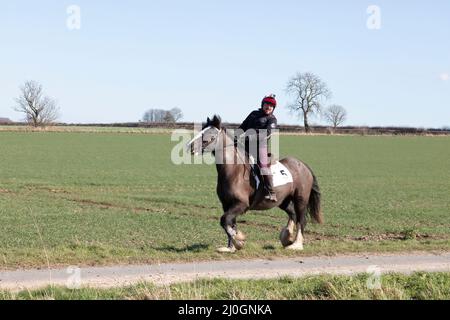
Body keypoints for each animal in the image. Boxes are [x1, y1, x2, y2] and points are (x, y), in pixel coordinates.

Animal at [187, 115, 324, 252]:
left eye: (212, 136)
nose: (190, 147)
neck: (233, 171)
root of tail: (302, 165)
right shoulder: (227, 205)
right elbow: (229, 223)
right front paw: (230, 247)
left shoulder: (241, 204)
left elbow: (224, 220)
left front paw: (239, 240)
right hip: (283, 201)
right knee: (293, 215)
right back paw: (287, 238)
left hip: (301, 199)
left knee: (301, 219)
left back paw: (296, 244)